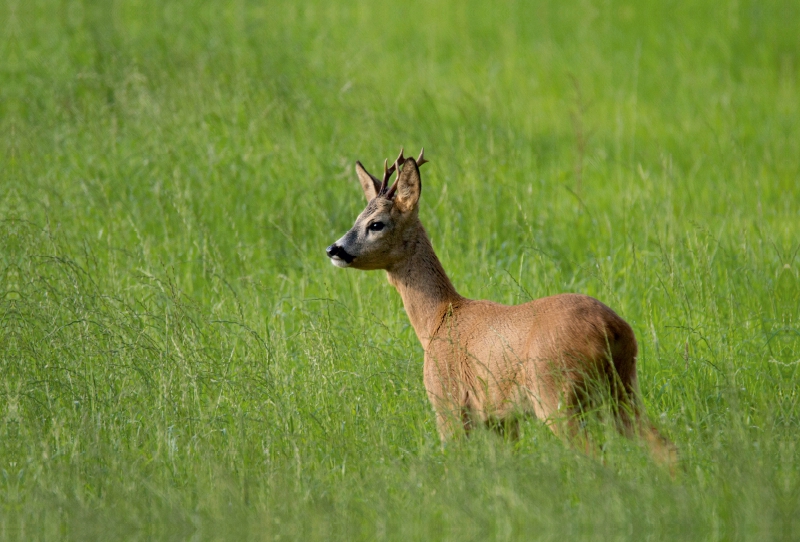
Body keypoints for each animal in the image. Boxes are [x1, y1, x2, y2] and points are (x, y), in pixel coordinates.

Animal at [324, 149, 676, 468]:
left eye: (376, 224)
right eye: (357, 218)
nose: (333, 249)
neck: (437, 320)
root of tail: (610, 328)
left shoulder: (447, 402)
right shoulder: (501, 418)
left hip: (557, 394)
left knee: (598, 456)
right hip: (624, 388)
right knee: (664, 446)